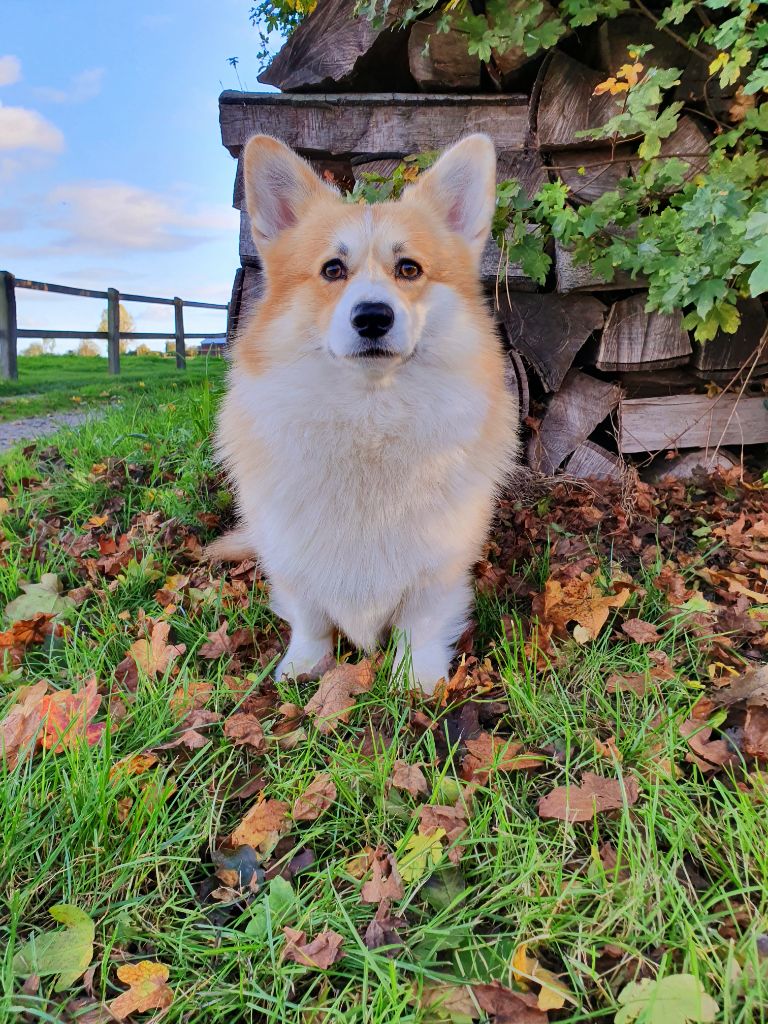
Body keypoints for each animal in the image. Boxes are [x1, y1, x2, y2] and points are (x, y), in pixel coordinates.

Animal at [210, 132, 519, 694]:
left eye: (409, 269)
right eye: (333, 269)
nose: (373, 317)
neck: (369, 417)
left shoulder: (436, 570)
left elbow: (421, 627)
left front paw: (416, 682)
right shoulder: (292, 560)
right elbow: (309, 620)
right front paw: (303, 667)